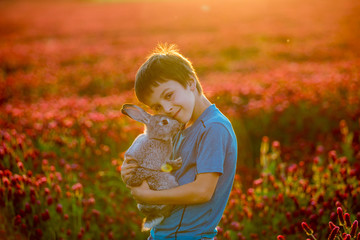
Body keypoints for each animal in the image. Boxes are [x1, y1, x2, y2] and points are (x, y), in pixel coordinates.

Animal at [121, 104, 183, 232]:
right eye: (164, 122)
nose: (179, 125)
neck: (154, 137)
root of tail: (155, 213)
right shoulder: (158, 160)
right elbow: (166, 164)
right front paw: (177, 163)